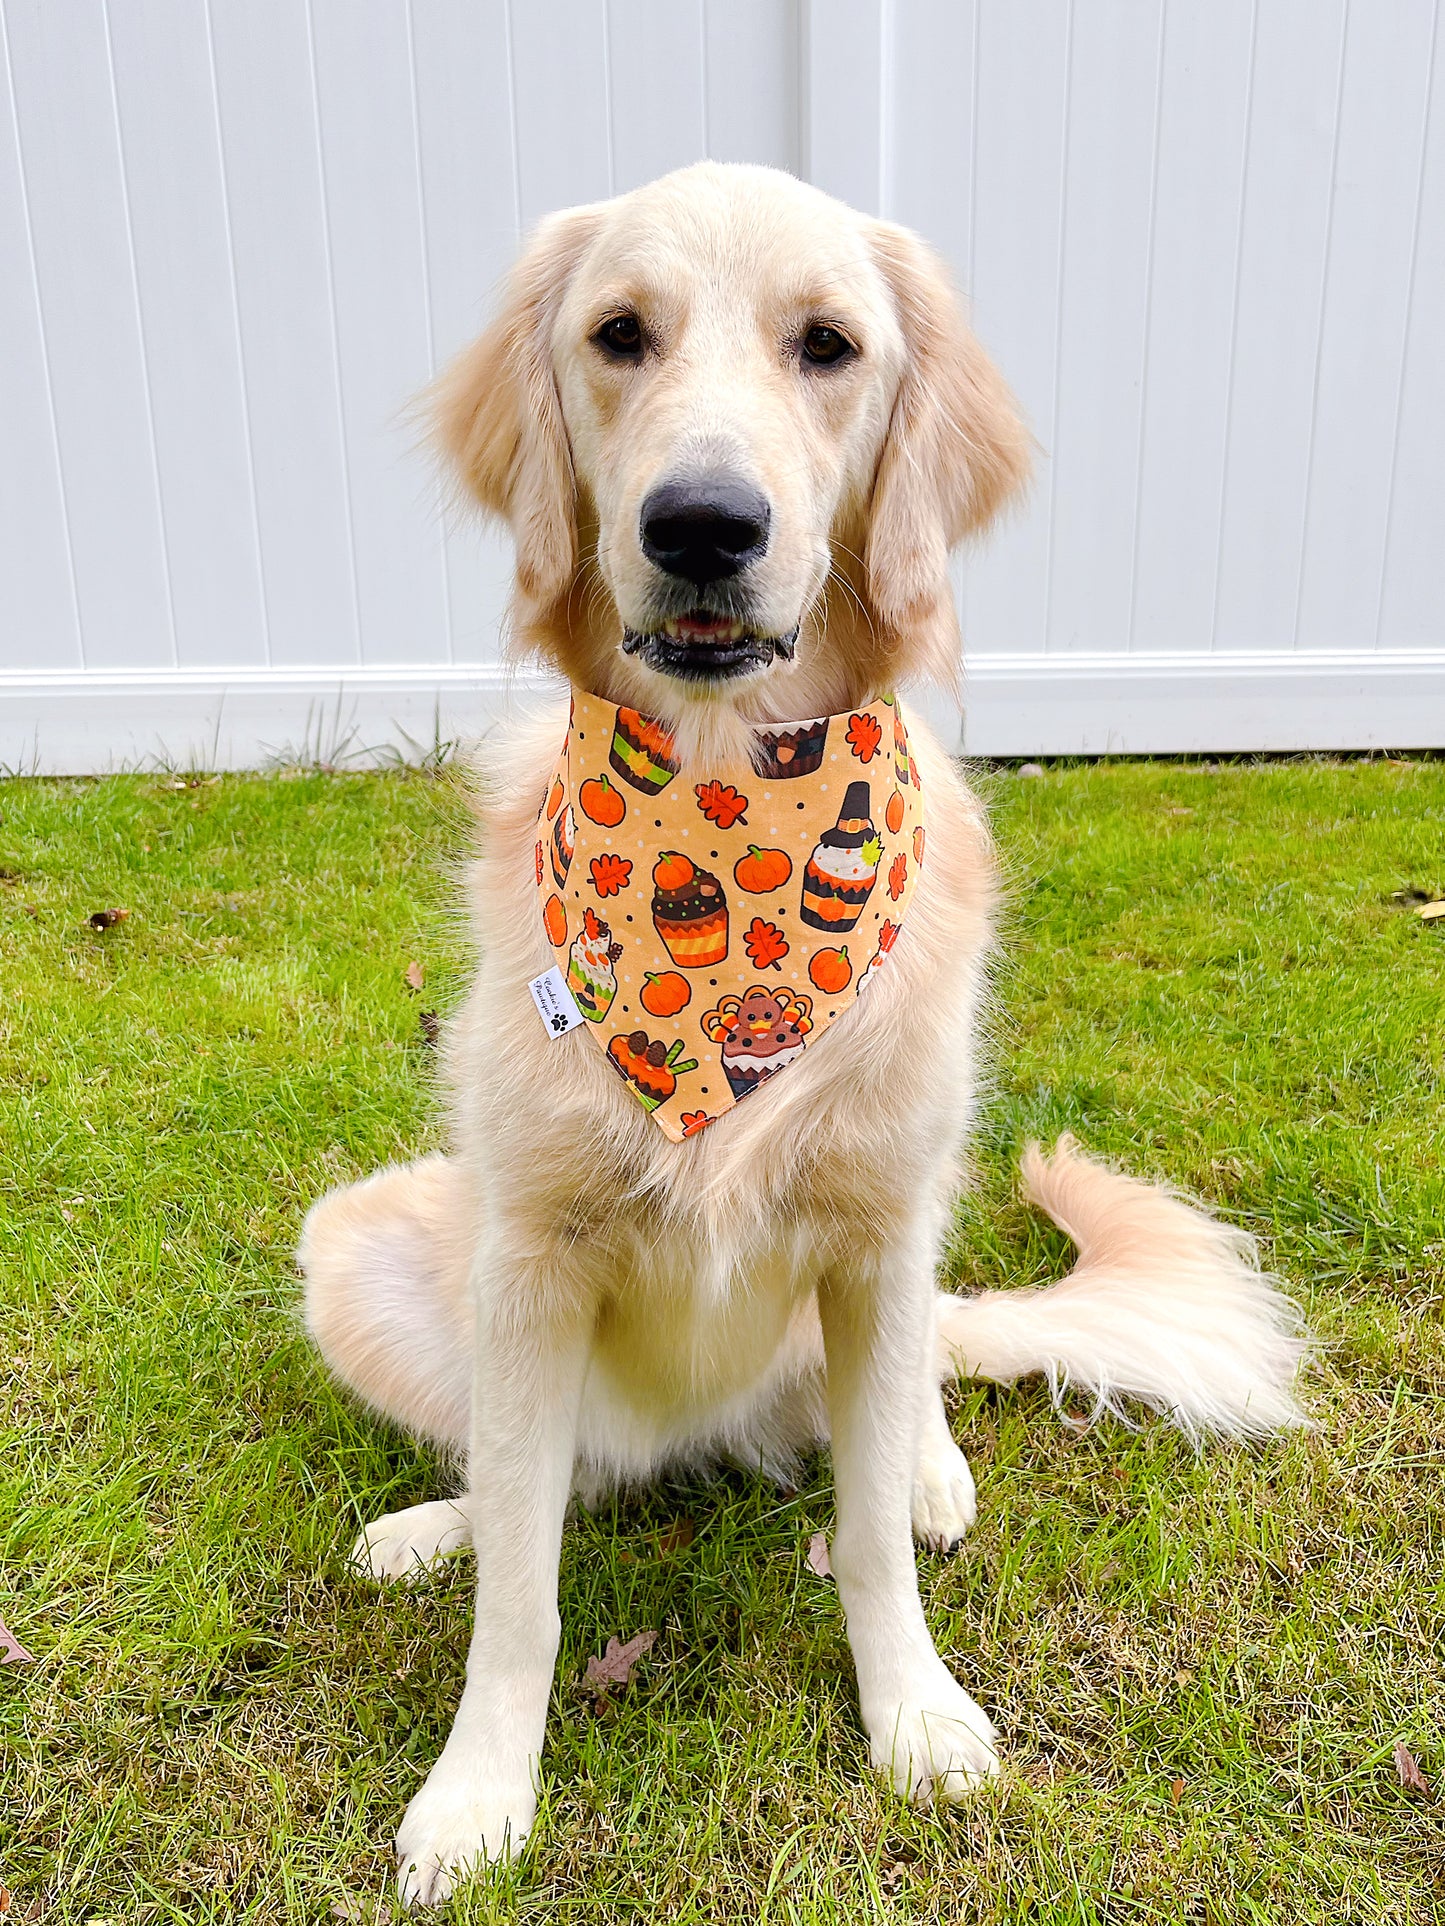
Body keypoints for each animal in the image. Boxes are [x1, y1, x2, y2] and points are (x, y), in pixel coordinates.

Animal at [296, 157, 1310, 1902]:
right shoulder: (528, 1258)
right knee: (538, 1483)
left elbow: (880, 1557)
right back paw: (437, 1524)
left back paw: (927, 1469)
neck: (718, 804)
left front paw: (914, 1712)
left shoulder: (877, 1230)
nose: (702, 524)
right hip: (368, 1244)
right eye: (618, 334)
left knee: (898, 1419)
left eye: (826, 345)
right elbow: (521, 1592)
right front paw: (477, 1790)